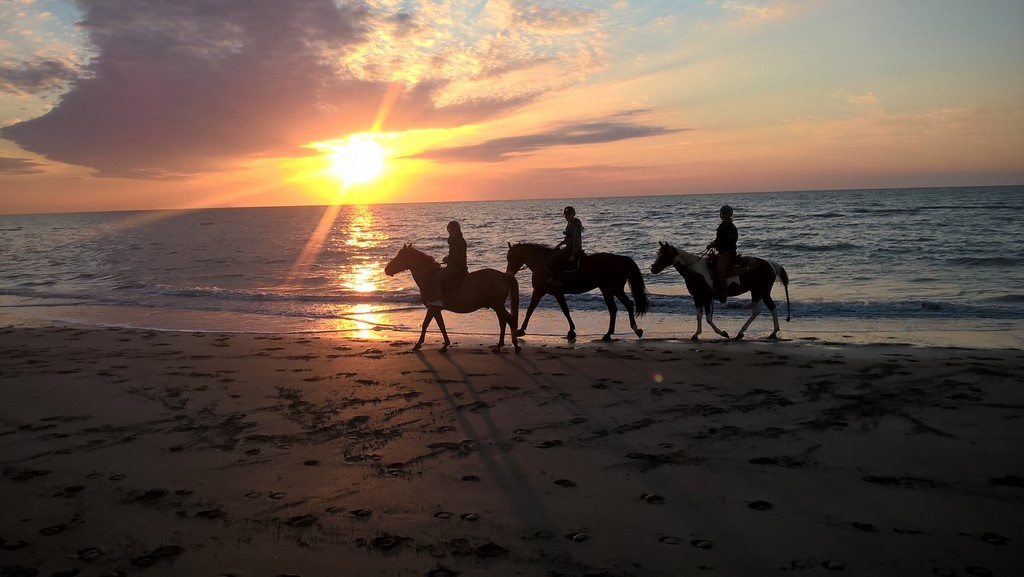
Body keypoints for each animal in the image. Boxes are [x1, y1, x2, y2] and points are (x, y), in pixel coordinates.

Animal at [384, 244, 521, 353]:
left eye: (400, 256)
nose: (386, 270)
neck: (429, 277)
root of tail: (504, 275)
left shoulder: (433, 308)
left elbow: (429, 325)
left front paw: (420, 344)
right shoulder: (435, 309)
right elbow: (438, 325)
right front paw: (442, 345)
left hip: (497, 305)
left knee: (508, 320)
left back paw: (512, 345)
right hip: (497, 306)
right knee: (503, 321)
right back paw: (501, 345)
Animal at [505, 242, 649, 342]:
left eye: (510, 257)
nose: (509, 272)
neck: (541, 262)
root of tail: (621, 259)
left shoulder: (539, 291)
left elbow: (531, 310)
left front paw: (520, 330)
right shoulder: (557, 293)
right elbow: (565, 311)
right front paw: (571, 331)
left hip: (611, 289)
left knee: (619, 307)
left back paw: (617, 332)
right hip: (611, 290)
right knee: (622, 306)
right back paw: (625, 332)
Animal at [649, 242, 790, 341]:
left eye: (664, 255)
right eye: (657, 254)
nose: (653, 269)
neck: (696, 271)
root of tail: (772, 264)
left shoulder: (708, 297)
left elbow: (708, 318)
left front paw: (723, 333)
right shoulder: (697, 297)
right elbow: (699, 316)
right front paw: (696, 334)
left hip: (761, 291)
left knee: (767, 308)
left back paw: (766, 333)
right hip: (757, 292)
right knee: (761, 310)